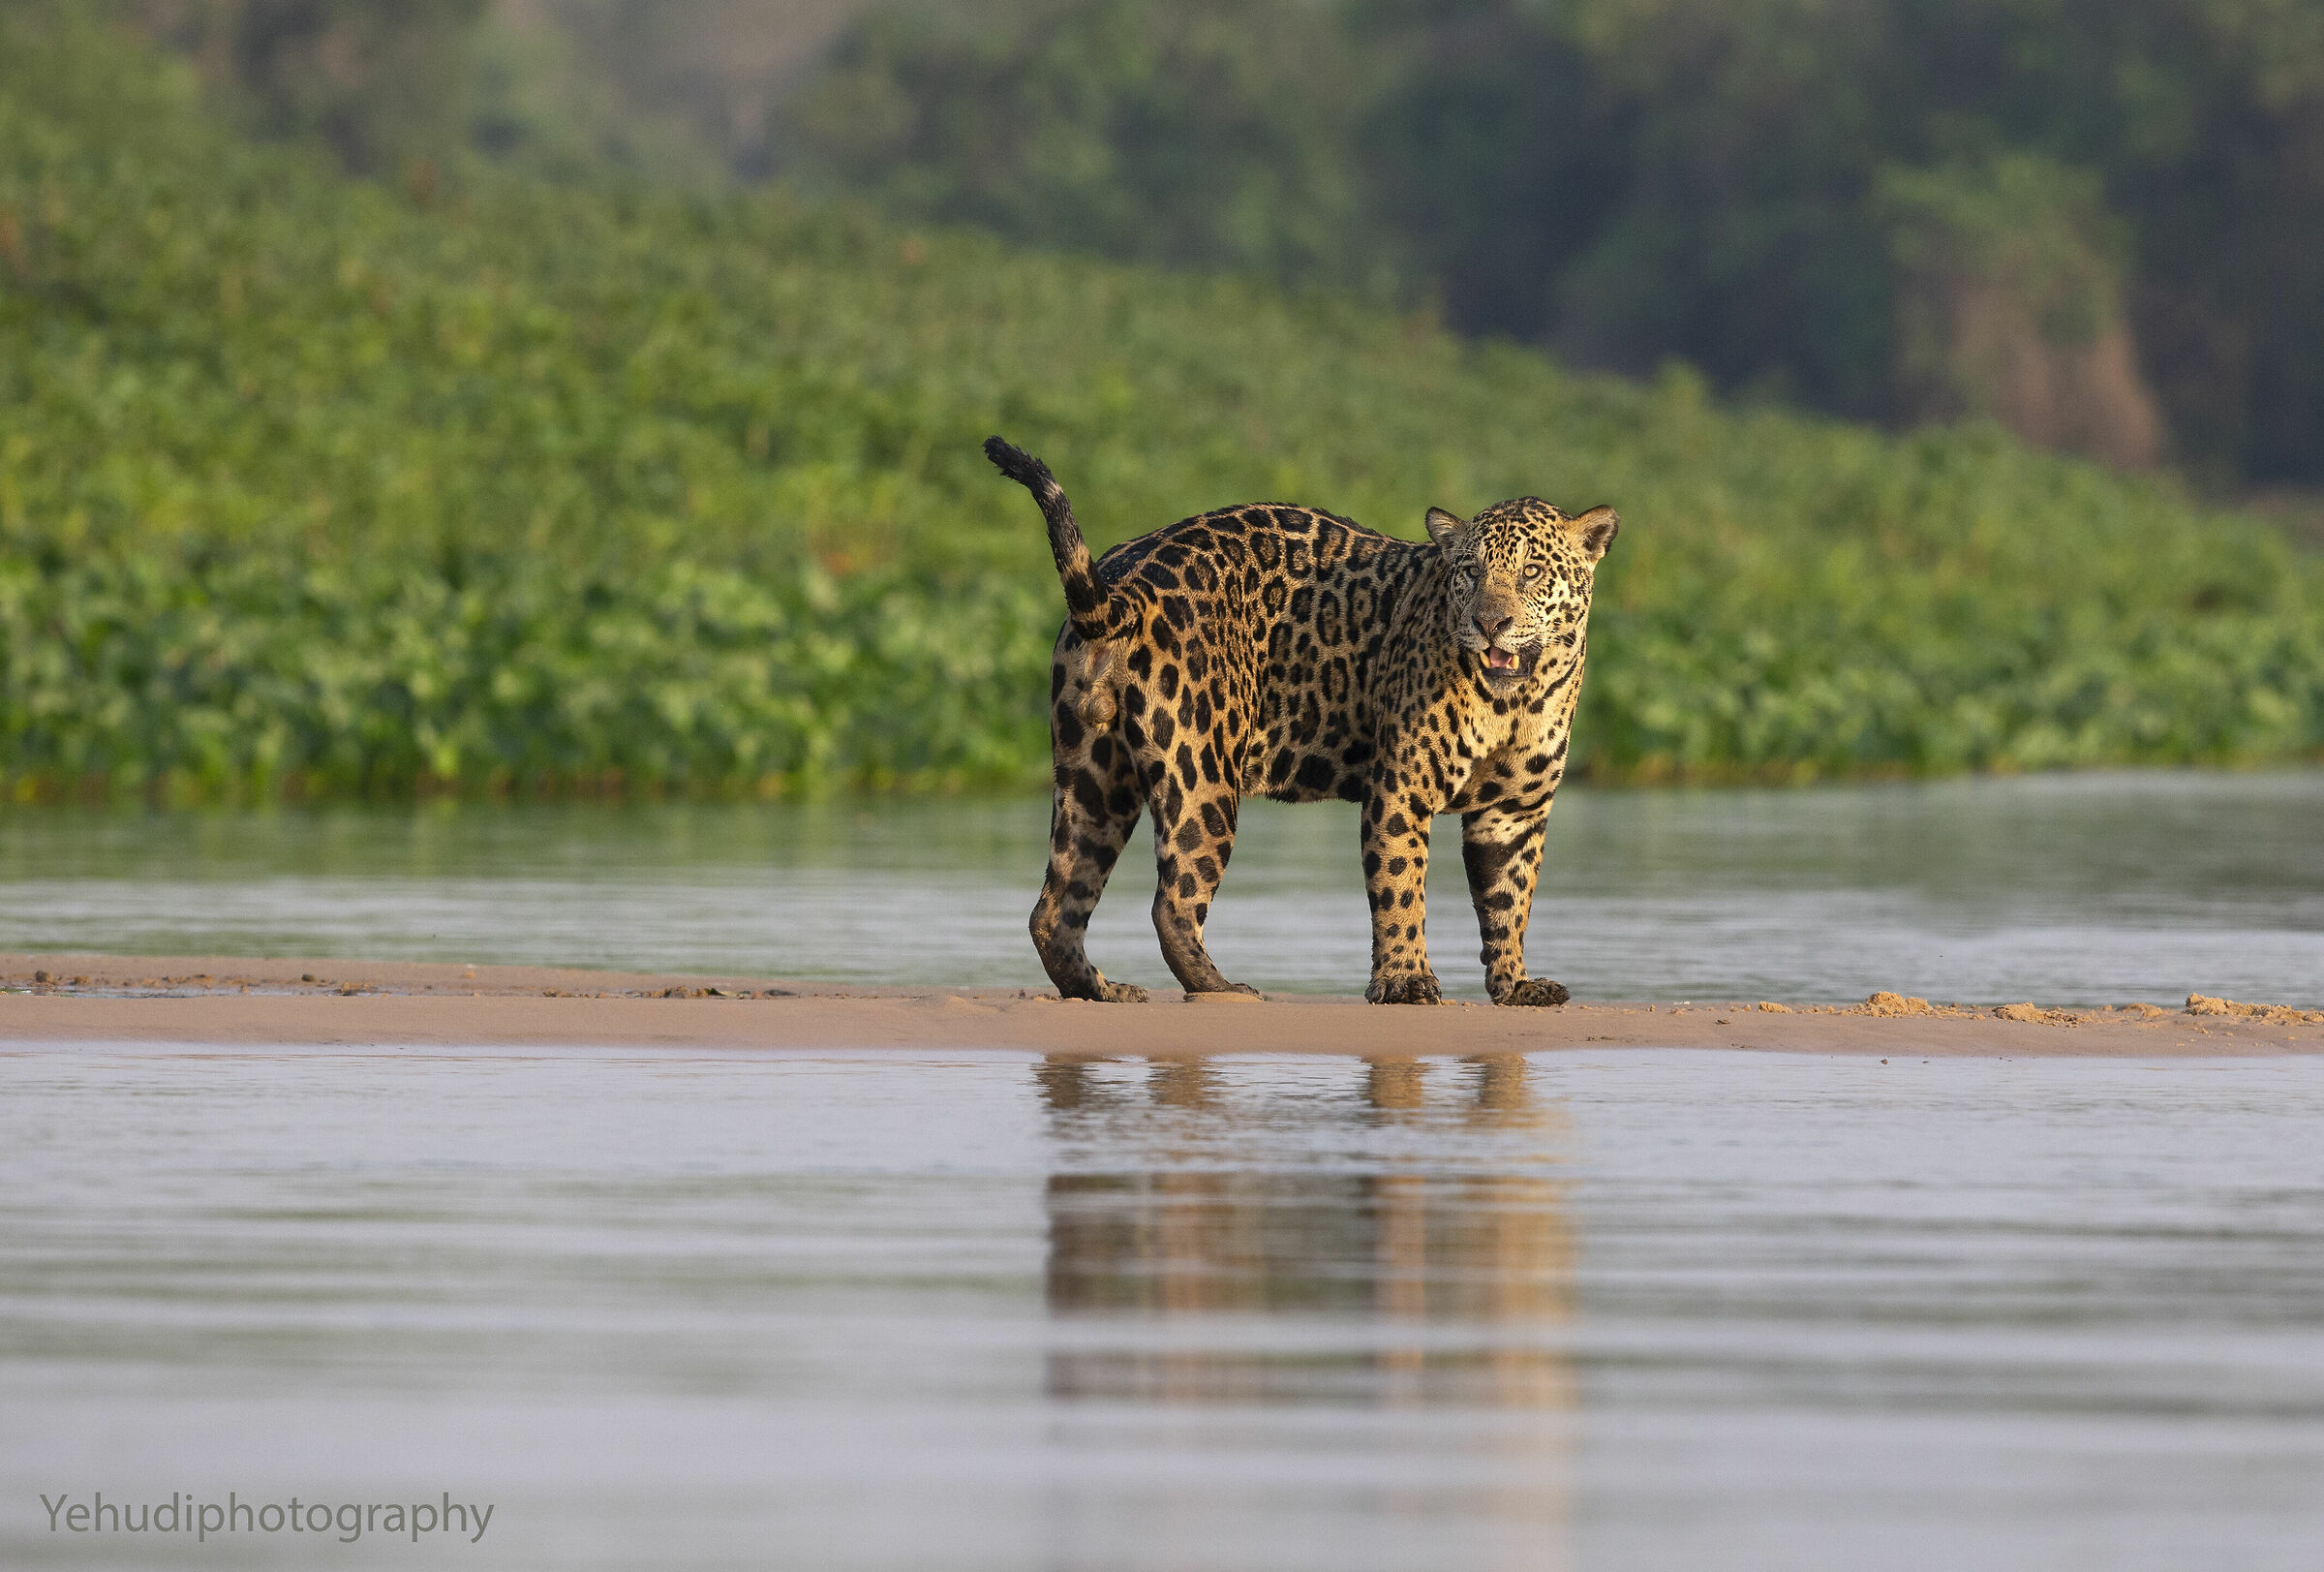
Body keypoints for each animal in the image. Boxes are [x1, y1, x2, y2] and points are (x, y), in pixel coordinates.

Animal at [985, 435, 1618, 1006]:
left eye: (1532, 573)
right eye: (1469, 574)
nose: (1489, 623)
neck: (1519, 699)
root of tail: (1127, 585)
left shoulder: (1513, 813)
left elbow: (1508, 902)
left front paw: (1515, 986)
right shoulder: (1401, 791)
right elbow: (1401, 886)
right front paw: (1405, 981)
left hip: (1094, 775)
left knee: (1056, 906)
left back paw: (1100, 990)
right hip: (1203, 775)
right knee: (1171, 905)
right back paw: (1222, 989)